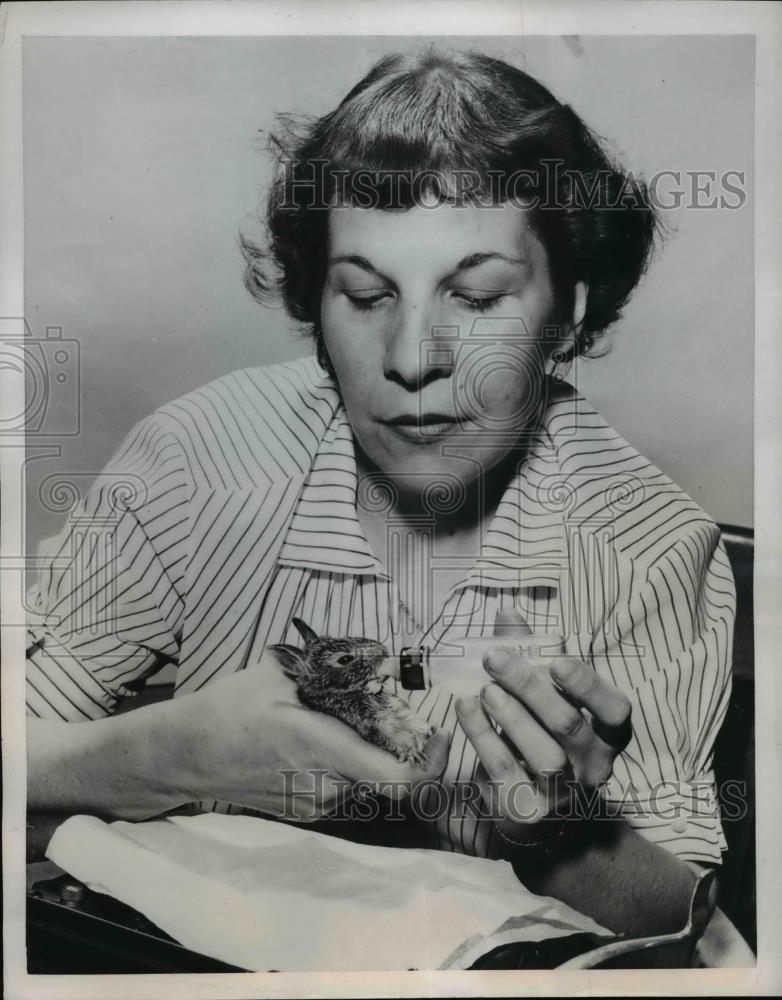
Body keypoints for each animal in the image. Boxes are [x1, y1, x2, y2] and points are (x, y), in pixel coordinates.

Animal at [272, 616, 438, 764]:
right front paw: (411, 753)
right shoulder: (368, 726)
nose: (383, 650)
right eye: (344, 659)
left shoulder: (398, 708)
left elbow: (410, 720)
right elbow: (386, 740)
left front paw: (427, 732)